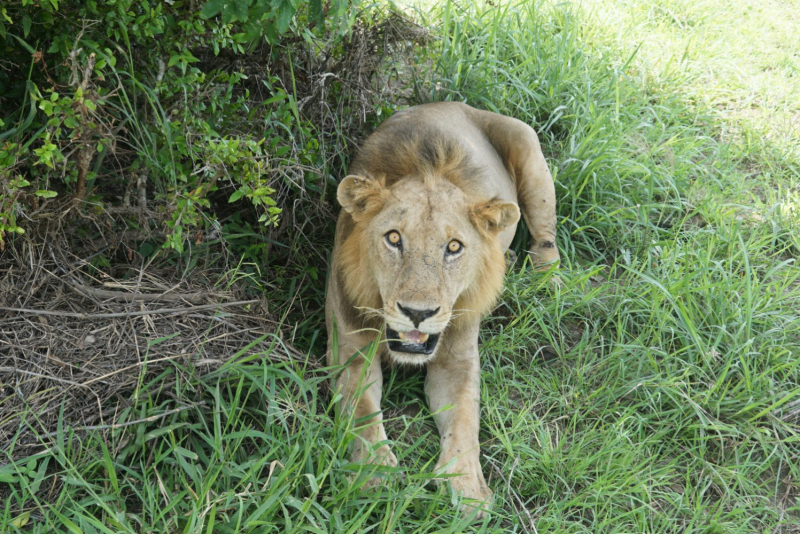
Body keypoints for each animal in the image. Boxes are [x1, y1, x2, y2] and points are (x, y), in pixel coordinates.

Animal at [322, 101, 560, 520]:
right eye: (394, 238)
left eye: (453, 247)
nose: (418, 313)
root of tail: (460, 104)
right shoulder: (348, 350)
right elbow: (362, 411)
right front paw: (374, 476)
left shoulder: (457, 357)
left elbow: (464, 418)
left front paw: (467, 490)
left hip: (530, 152)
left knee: (547, 234)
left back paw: (546, 280)